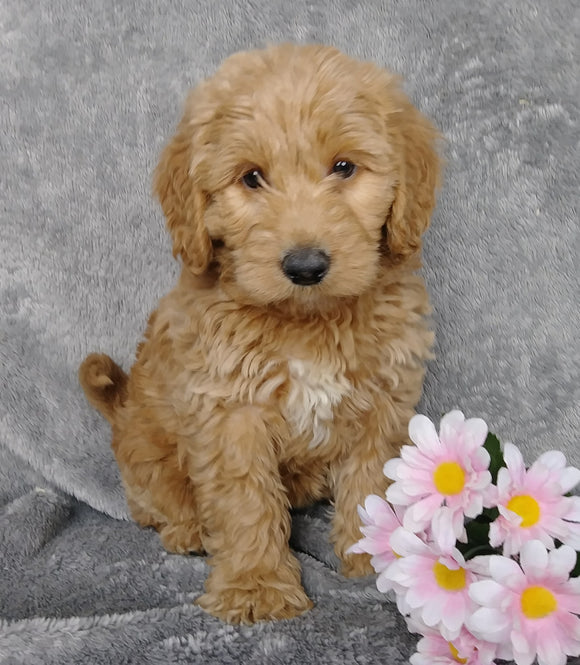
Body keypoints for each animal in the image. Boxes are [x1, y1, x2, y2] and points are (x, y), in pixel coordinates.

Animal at [80, 42, 440, 624]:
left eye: (344, 167)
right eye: (251, 178)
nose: (306, 266)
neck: (306, 322)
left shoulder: (382, 402)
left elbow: (370, 486)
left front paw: (376, 557)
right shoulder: (231, 413)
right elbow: (245, 500)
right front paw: (256, 587)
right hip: (148, 449)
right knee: (153, 502)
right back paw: (187, 530)